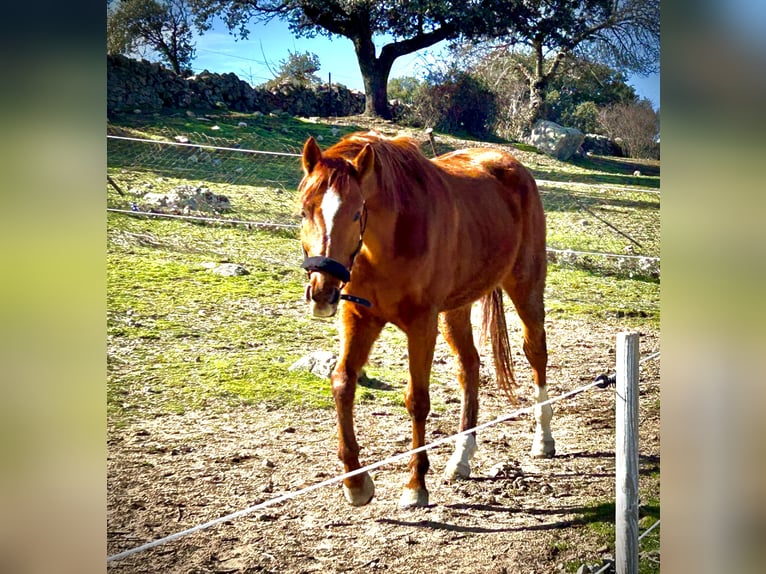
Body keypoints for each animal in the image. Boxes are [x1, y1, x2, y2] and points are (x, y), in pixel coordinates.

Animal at [297, 131, 553, 508]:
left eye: (357, 213)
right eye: (304, 211)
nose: (323, 289)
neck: (387, 243)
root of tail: (510, 164)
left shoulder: (421, 326)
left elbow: (417, 401)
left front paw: (415, 484)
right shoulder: (359, 318)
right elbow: (342, 383)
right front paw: (356, 483)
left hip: (525, 288)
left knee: (536, 353)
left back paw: (543, 440)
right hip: (455, 310)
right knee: (469, 366)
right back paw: (461, 457)